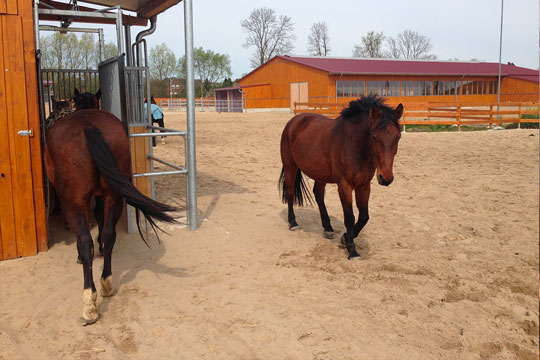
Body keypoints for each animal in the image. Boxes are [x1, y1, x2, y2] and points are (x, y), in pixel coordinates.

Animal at [44, 89, 175, 324]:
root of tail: (89, 126)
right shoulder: (101, 196)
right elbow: (99, 218)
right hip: (114, 197)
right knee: (109, 233)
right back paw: (106, 282)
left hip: (76, 202)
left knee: (84, 241)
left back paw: (89, 302)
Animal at [280, 95, 402, 258]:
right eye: (375, 137)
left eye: (398, 137)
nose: (386, 178)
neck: (354, 146)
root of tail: (294, 121)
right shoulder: (344, 185)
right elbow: (349, 217)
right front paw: (352, 250)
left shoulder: (364, 185)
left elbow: (364, 216)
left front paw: (345, 238)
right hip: (290, 166)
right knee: (291, 192)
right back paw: (293, 223)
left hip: (320, 174)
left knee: (318, 194)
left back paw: (328, 228)